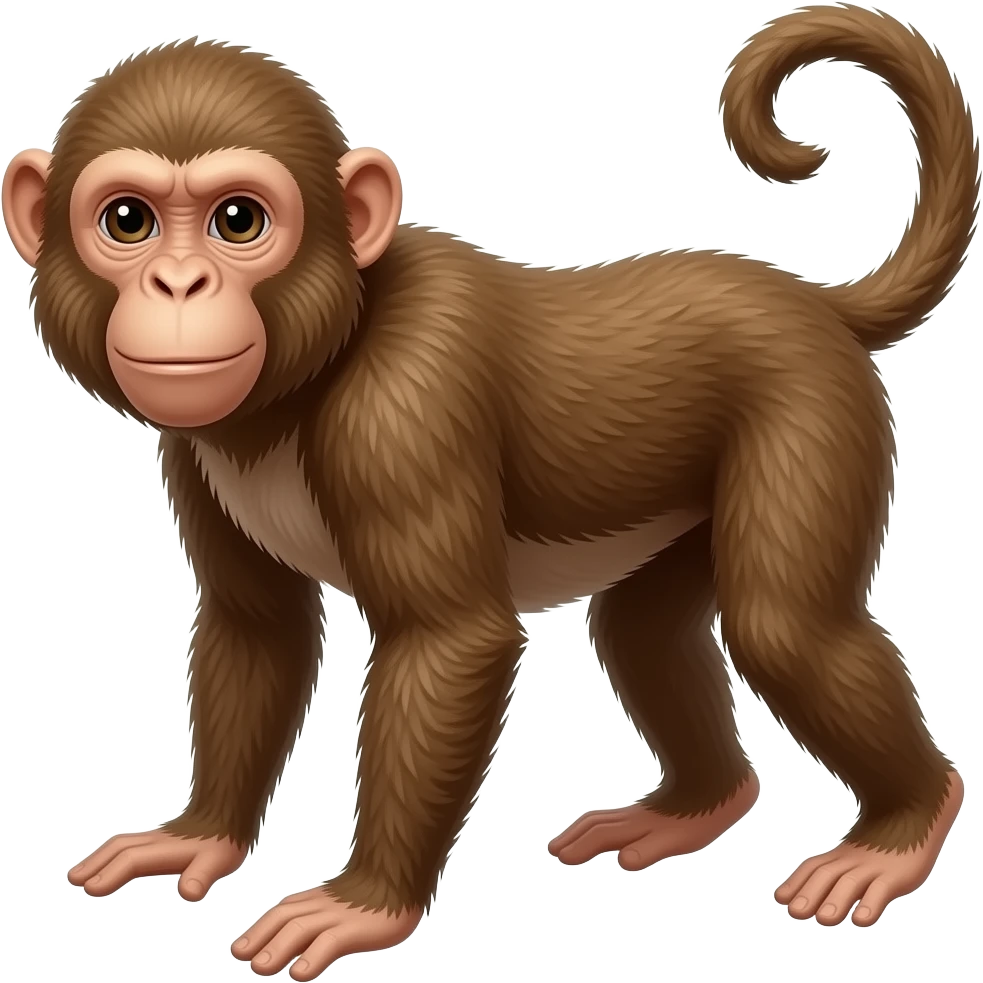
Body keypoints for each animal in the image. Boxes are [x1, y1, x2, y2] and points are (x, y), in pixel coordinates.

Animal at [1, 3, 976, 977]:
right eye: (128, 220)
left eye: (237, 221)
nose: (178, 283)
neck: (309, 373)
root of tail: (816, 305)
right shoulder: (192, 448)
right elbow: (256, 627)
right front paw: (199, 834)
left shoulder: (403, 409)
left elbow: (451, 639)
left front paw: (366, 902)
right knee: (643, 631)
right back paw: (695, 804)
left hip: (809, 409)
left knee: (782, 626)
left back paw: (902, 824)